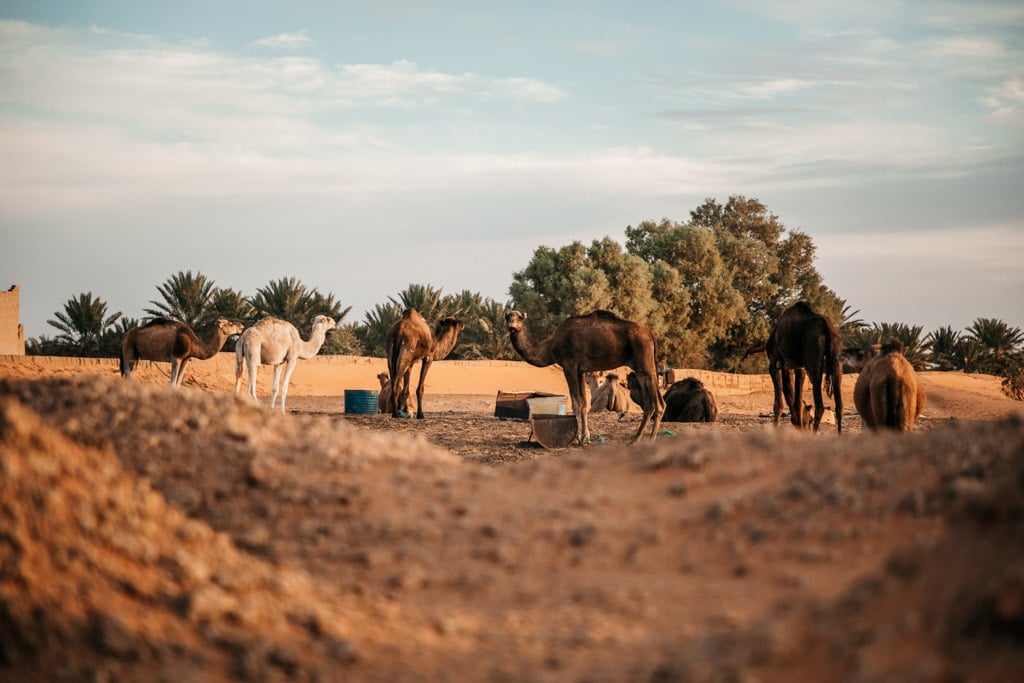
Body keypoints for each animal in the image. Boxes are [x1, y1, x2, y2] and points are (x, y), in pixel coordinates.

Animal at [503, 311, 663, 448]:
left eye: (519, 317)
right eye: (508, 316)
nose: (512, 324)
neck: (551, 347)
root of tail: (650, 334)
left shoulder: (569, 366)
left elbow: (576, 404)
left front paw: (578, 438)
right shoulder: (580, 371)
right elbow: (585, 404)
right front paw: (586, 438)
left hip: (645, 364)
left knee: (657, 404)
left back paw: (650, 439)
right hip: (642, 369)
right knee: (654, 403)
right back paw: (636, 439)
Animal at [765, 303, 843, 432]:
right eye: (809, 420)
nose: (805, 427)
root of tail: (827, 325)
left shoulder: (774, 362)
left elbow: (779, 403)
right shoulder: (797, 367)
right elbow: (795, 400)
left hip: (813, 356)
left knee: (820, 406)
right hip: (837, 356)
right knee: (839, 406)